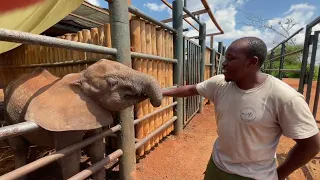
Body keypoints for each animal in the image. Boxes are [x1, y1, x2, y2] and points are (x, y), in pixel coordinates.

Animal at [3, 58, 161, 179]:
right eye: (112, 82)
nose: (155, 102)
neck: (79, 77)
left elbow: (97, 152)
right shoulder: (65, 122)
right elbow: (70, 160)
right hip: (8, 115)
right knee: (19, 148)